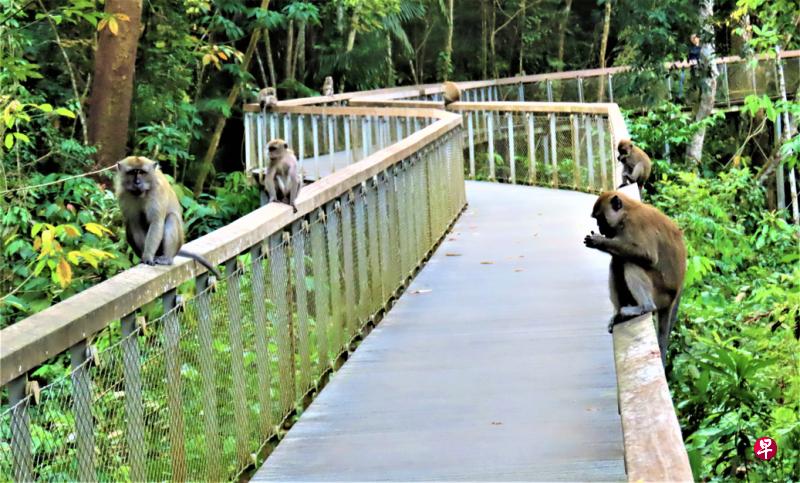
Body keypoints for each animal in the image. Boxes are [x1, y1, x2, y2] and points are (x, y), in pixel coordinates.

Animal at [580, 191, 688, 364]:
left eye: (599, 219)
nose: (599, 228)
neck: (627, 211)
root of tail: (673, 296)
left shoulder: (636, 224)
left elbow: (647, 256)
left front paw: (599, 242)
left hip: (660, 293)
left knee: (630, 262)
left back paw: (645, 307)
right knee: (618, 261)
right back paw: (620, 314)